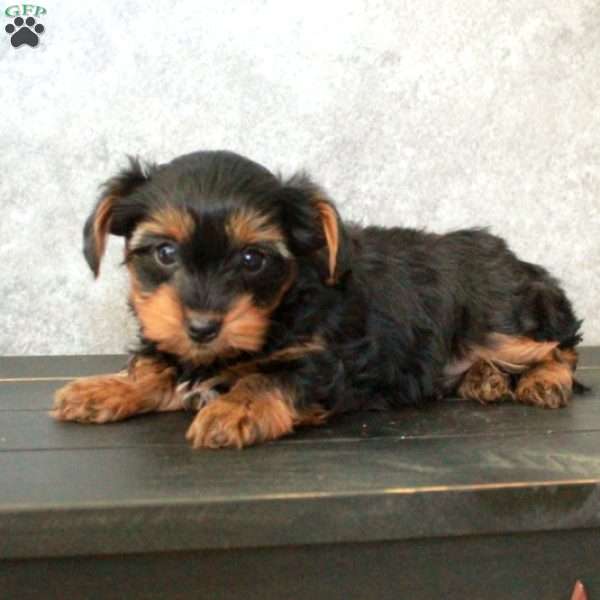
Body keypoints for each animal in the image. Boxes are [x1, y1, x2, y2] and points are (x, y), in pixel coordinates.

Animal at [54, 152, 584, 448]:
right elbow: (159, 365)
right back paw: (484, 380)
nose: (202, 327)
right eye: (164, 252)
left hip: (498, 321)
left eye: (252, 259)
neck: (282, 305)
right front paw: (106, 388)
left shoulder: (327, 362)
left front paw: (234, 409)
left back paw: (542, 380)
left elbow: (271, 378)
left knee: (561, 345)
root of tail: (514, 257)